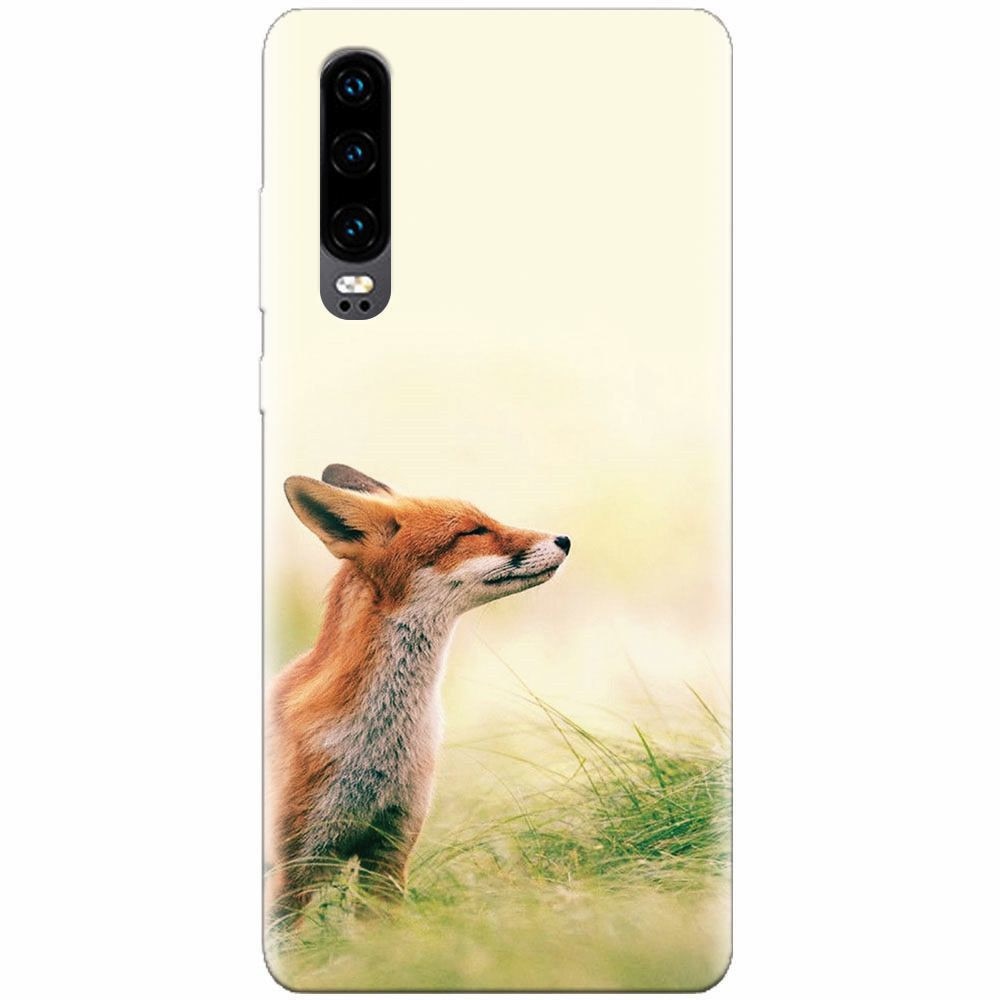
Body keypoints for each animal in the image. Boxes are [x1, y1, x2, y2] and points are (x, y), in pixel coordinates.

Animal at [266, 463, 570, 923]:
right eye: (473, 531)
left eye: (487, 520)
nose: (565, 540)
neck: (379, 746)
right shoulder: (292, 870)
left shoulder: (390, 851)